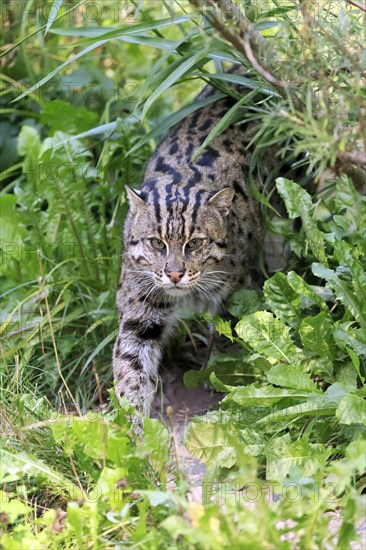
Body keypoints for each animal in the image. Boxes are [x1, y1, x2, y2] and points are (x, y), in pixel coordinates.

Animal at [113, 75, 268, 424]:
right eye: (157, 243)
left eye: (194, 243)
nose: (174, 274)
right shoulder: (139, 307)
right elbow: (130, 368)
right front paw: (129, 428)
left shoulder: (233, 292)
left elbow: (226, 335)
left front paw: (217, 376)